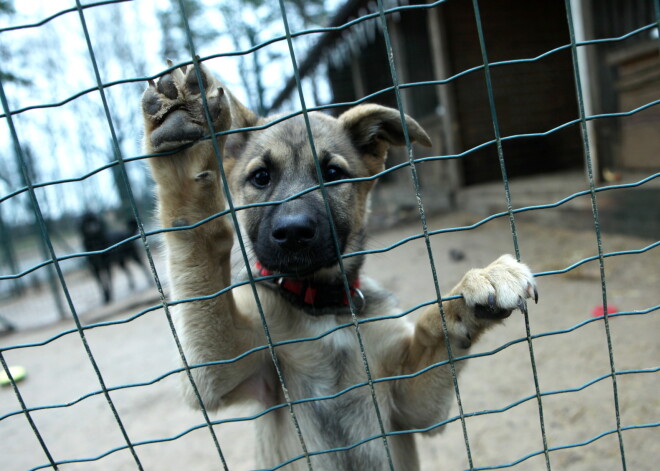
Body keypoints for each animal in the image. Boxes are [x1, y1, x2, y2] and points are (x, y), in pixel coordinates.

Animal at [142, 63, 540, 471]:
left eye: (333, 173)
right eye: (261, 177)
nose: (294, 232)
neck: (321, 304)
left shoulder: (410, 405)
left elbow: (434, 329)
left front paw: (476, 286)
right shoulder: (219, 370)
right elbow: (199, 243)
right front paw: (184, 151)